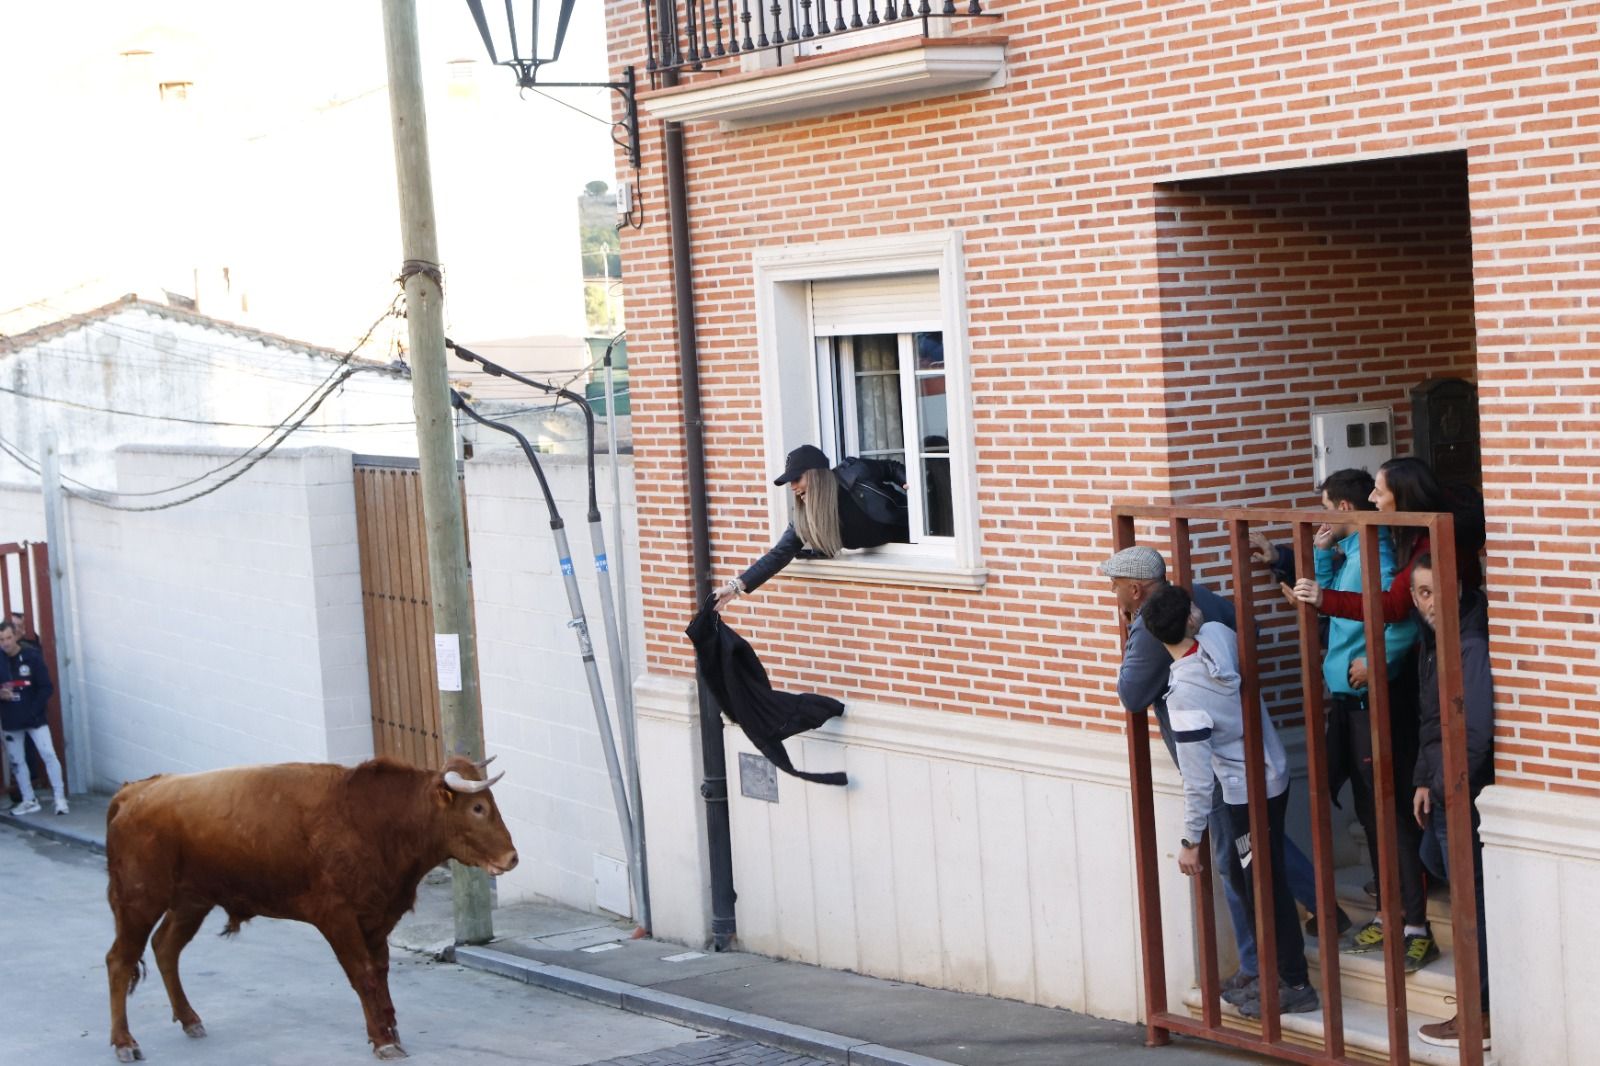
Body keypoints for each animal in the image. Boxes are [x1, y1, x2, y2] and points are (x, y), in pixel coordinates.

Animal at [100, 752, 521, 1056]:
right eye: (478, 808)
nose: (512, 857)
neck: (374, 821)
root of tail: (132, 793)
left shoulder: (377, 916)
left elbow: (381, 971)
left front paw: (389, 1029)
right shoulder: (337, 918)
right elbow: (364, 974)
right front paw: (383, 1040)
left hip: (191, 902)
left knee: (165, 947)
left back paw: (190, 1019)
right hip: (139, 901)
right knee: (120, 960)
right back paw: (125, 1042)